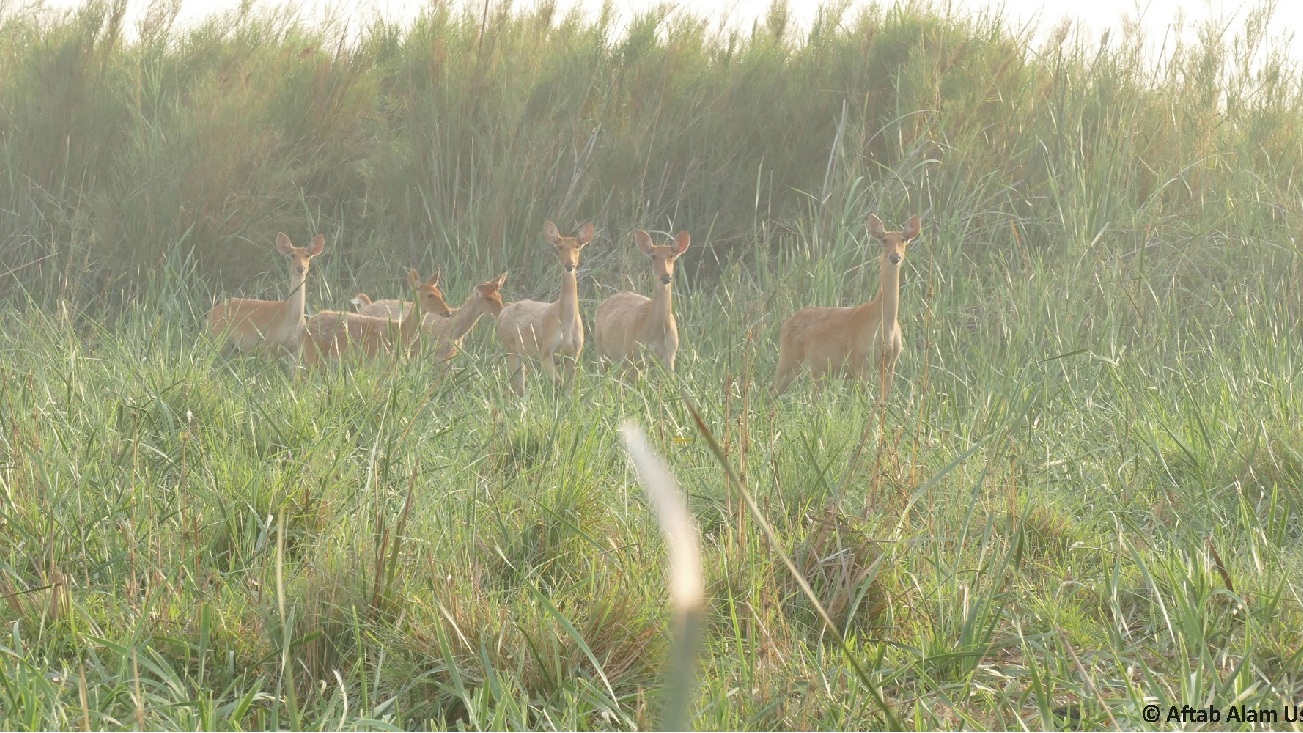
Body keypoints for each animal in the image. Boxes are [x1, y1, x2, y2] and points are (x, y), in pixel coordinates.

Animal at [299, 269, 452, 369]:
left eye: (440, 293)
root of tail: (307, 325)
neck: (401, 332)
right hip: (313, 354)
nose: (448, 312)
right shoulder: (384, 361)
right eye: (430, 295)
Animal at [497, 221, 595, 396]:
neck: (566, 324)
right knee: (515, 386)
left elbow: (568, 389)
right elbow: (559, 384)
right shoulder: (546, 350)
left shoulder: (575, 353)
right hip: (511, 348)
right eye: (560, 246)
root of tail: (505, 309)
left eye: (577, 246)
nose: (570, 265)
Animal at [594, 230, 690, 373]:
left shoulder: (670, 355)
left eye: (672, 256)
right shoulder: (634, 355)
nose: (666, 277)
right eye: (653, 256)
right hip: (603, 350)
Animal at [773, 214, 921, 402]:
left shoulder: (890, 361)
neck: (884, 327)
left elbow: (882, 400)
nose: (895, 257)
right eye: (884, 240)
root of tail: (786, 323)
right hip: (789, 358)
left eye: (903, 239)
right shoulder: (860, 359)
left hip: (817, 369)